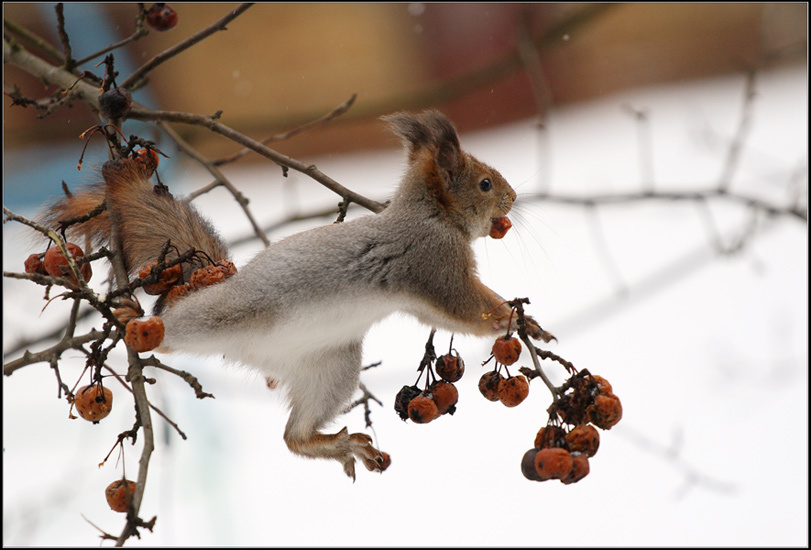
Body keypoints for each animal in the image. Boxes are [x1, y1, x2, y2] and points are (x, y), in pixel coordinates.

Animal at [40, 110, 550, 479]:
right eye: (484, 183)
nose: (512, 198)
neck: (430, 214)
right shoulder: (434, 265)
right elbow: (468, 308)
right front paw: (517, 320)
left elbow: (444, 319)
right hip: (222, 315)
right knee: (170, 331)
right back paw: (137, 321)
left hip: (332, 365)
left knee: (293, 437)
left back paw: (338, 445)